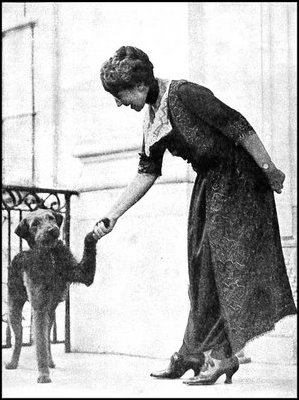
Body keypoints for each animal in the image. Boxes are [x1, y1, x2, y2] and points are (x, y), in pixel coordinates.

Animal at [4, 208, 98, 382]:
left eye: (51, 218)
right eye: (35, 224)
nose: (53, 230)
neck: (50, 255)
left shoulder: (83, 274)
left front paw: (95, 232)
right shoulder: (39, 307)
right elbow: (39, 345)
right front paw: (43, 374)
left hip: (51, 315)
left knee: (46, 339)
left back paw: (50, 361)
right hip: (14, 309)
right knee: (19, 338)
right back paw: (13, 362)